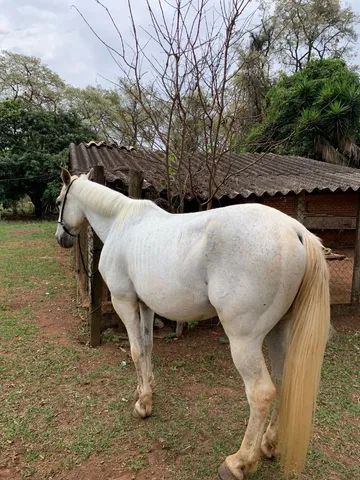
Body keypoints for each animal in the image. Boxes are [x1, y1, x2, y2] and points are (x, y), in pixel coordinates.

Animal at [55, 168, 330, 476]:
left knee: (261, 393)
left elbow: (136, 351)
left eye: (58, 201)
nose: (61, 238)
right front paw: (146, 389)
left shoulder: (124, 302)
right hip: (279, 331)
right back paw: (268, 444)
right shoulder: (146, 306)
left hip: (245, 341)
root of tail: (296, 232)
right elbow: (148, 348)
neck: (120, 223)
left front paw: (142, 405)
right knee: (283, 380)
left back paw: (239, 462)